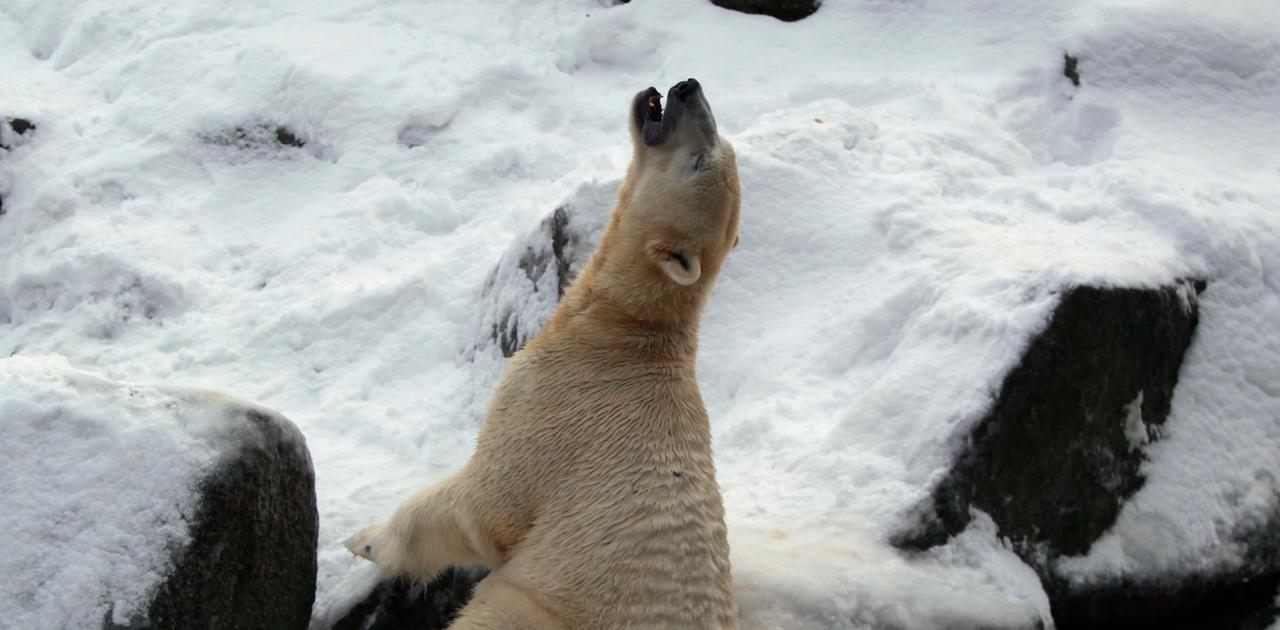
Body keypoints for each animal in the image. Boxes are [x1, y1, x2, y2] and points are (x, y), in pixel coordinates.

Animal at [345, 80, 747, 630]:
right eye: (721, 143)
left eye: (702, 158)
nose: (688, 87)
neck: (621, 334)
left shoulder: (548, 412)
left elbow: (479, 506)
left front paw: (365, 539)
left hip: (531, 610)